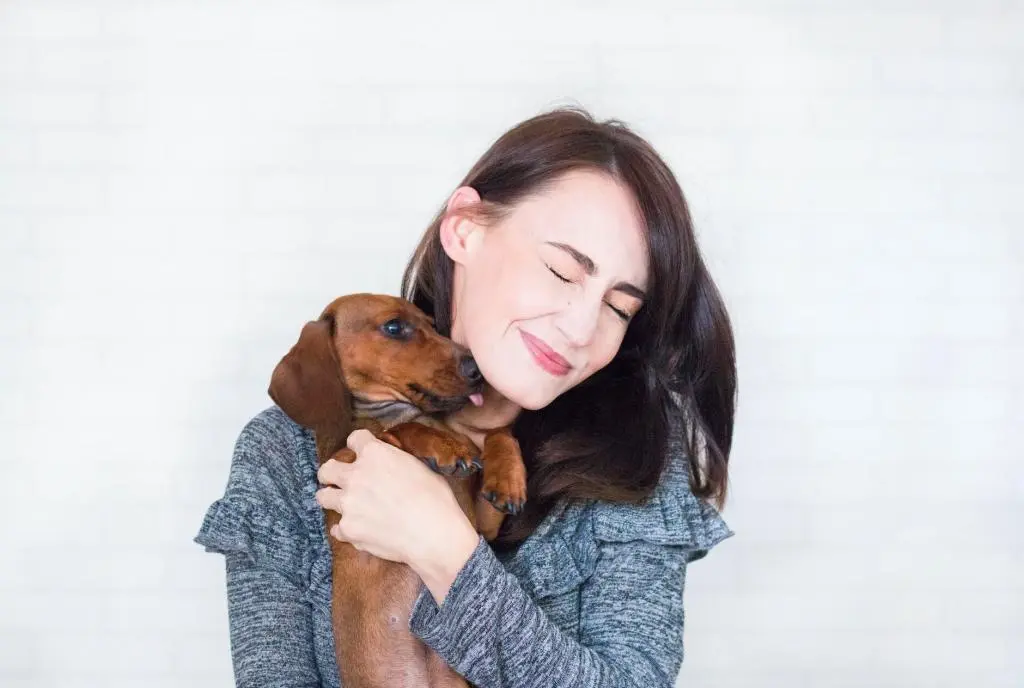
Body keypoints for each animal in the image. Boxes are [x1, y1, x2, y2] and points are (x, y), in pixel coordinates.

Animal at [268, 292, 524, 688]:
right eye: (393, 327)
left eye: (433, 324)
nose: (477, 370)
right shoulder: (345, 460)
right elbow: (398, 432)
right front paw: (445, 447)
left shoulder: (483, 525)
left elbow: (500, 435)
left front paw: (507, 479)